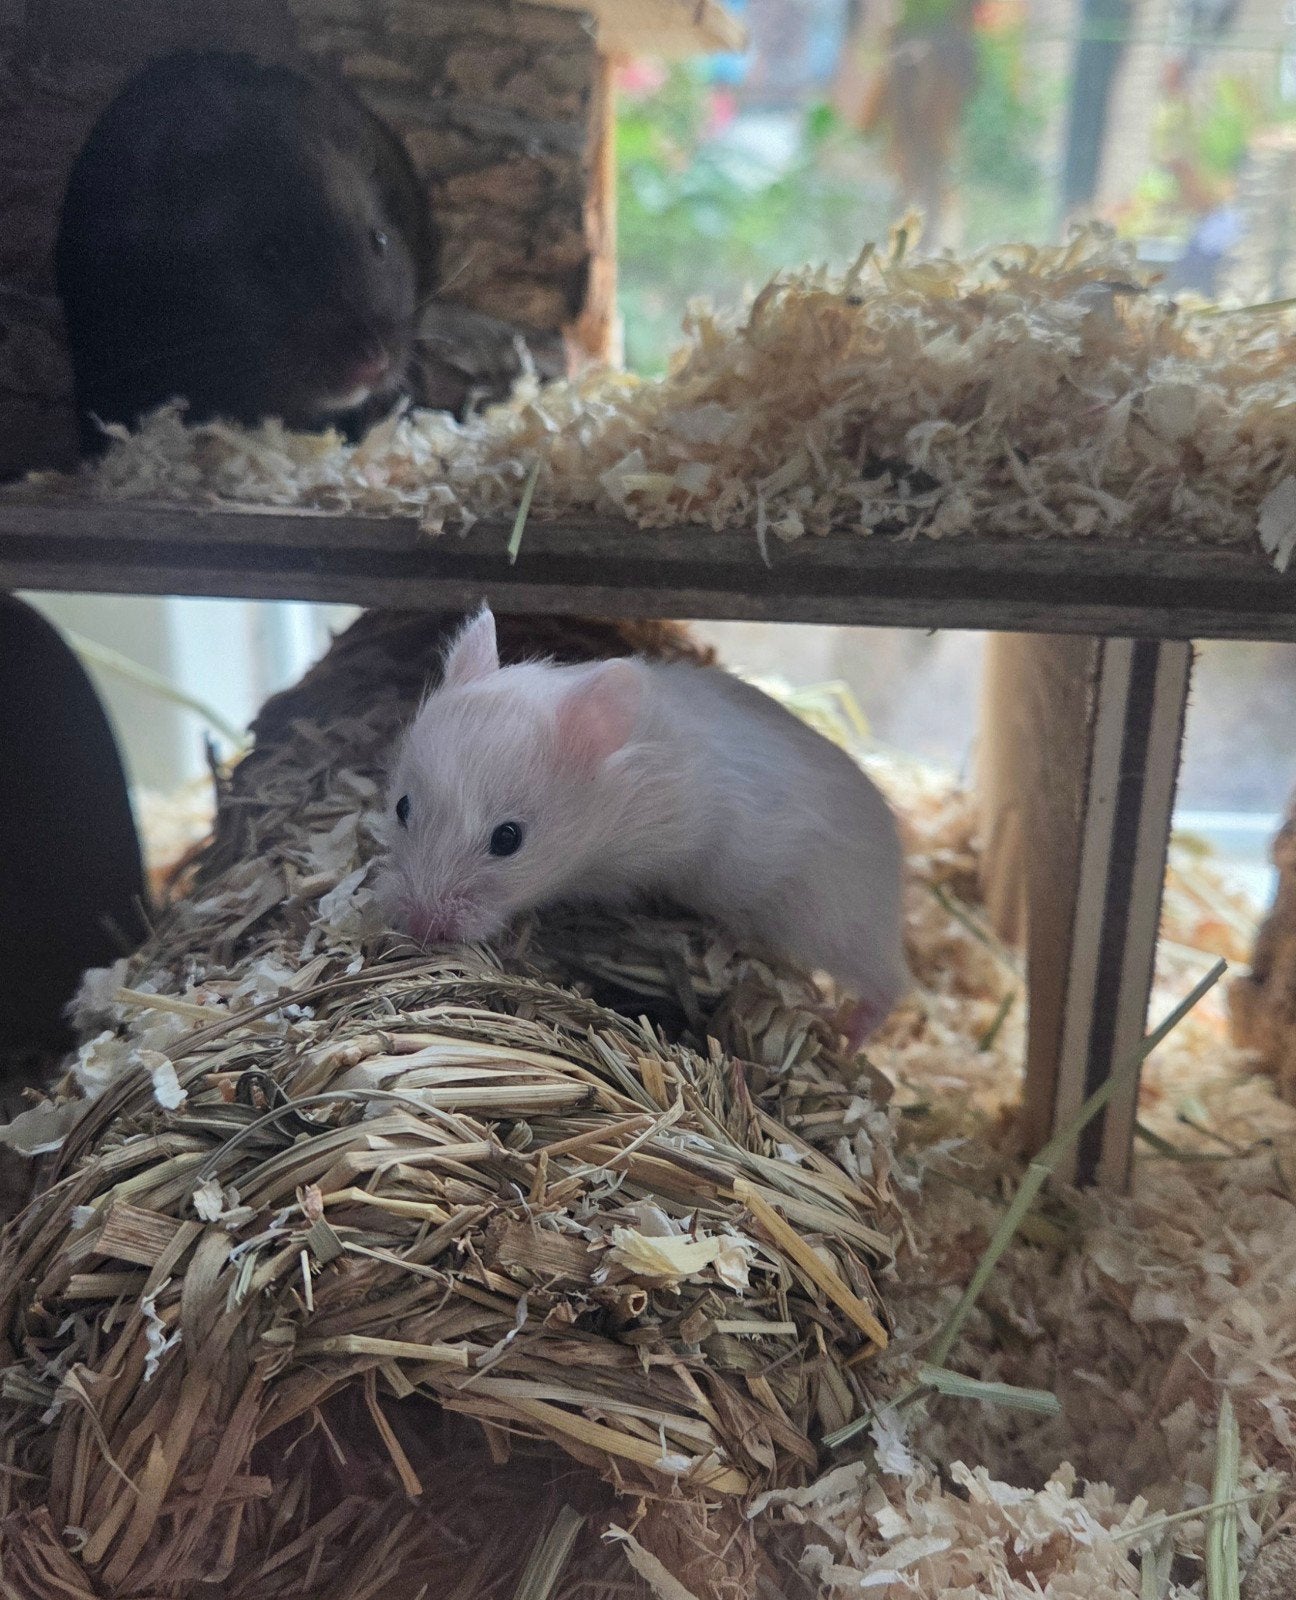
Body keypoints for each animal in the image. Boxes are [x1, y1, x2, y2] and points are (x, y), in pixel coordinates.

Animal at [376, 607, 911, 1045]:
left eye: (508, 839)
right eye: (402, 807)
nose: (419, 927)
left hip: (834, 922)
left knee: (888, 984)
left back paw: (847, 1032)